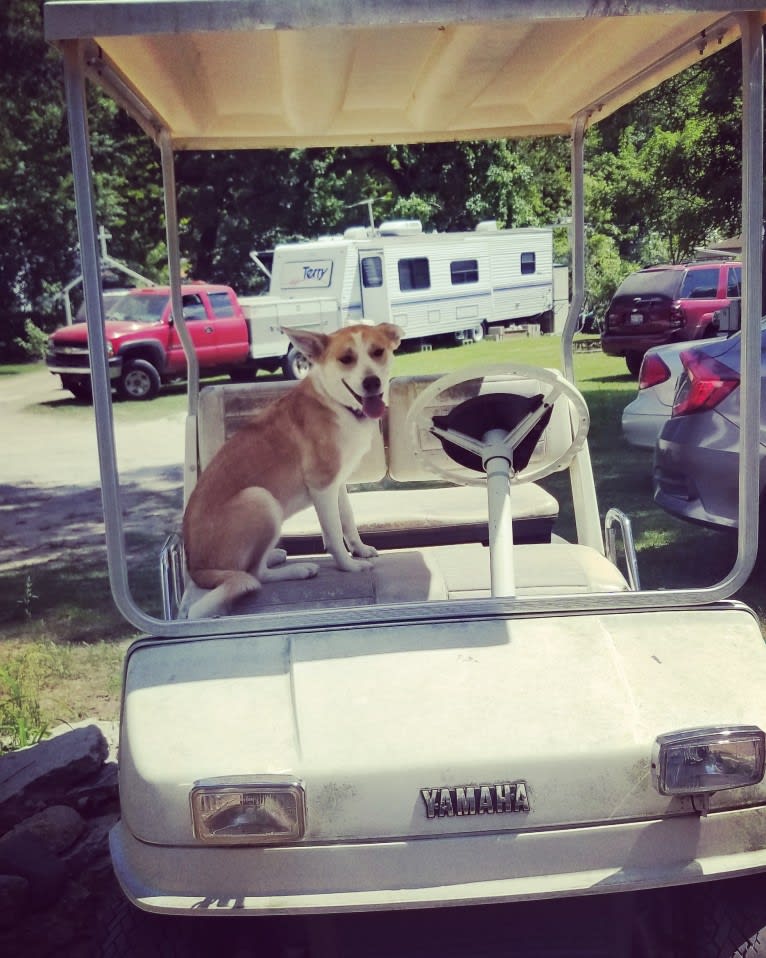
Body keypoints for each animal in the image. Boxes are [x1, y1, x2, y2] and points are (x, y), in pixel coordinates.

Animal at [183, 322, 404, 620]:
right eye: (346, 359)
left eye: (377, 352)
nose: (372, 382)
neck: (334, 403)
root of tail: (196, 569)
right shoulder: (322, 487)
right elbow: (334, 533)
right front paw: (349, 566)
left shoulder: (338, 484)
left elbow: (347, 521)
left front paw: (360, 550)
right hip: (261, 499)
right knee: (255, 575)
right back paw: (299, 569)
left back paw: (274, 555)